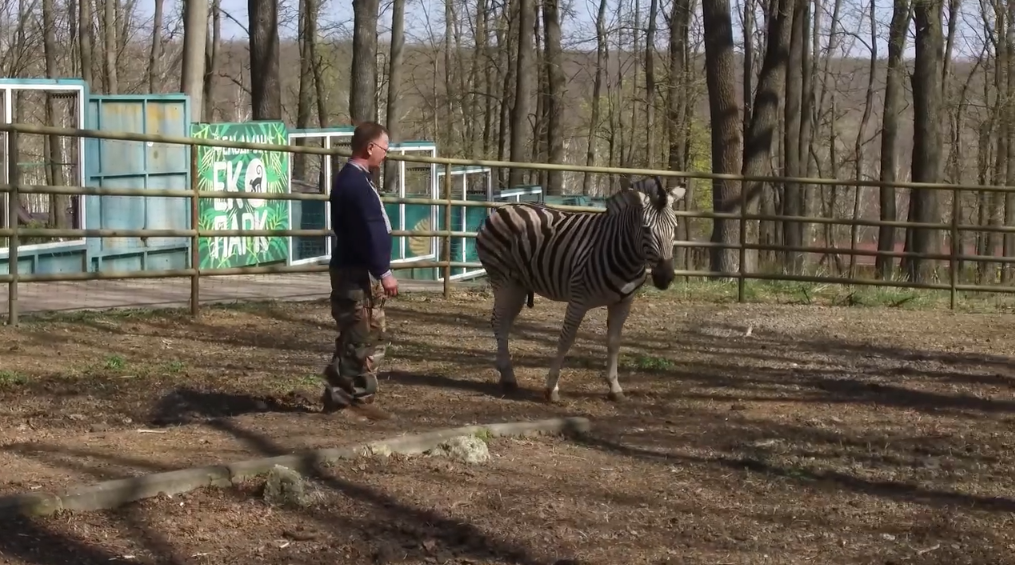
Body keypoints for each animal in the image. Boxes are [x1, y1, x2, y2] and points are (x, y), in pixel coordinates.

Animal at [477, 175, 690, 401]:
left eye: (674, 227)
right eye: (646, 229)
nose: (665, 277)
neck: (624, 254)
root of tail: (503, 208)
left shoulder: (624, 302)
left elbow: (614, 342)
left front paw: (615, 387)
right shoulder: (578, 299)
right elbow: (566, 339)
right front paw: (552, 388)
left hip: (519, 285)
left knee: (504, 322)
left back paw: (505, 372)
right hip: (503, 279)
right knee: (499, 321)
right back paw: (509, 377)